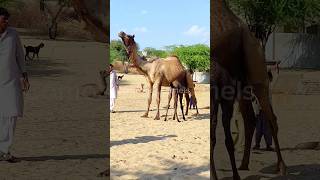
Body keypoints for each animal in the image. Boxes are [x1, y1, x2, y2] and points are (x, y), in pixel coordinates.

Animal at [211, 0, 286, 180]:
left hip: (256, 65)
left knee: (270, 117)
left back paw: (281, 167)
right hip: (241, 83)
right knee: (250, 118)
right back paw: (244, 164)